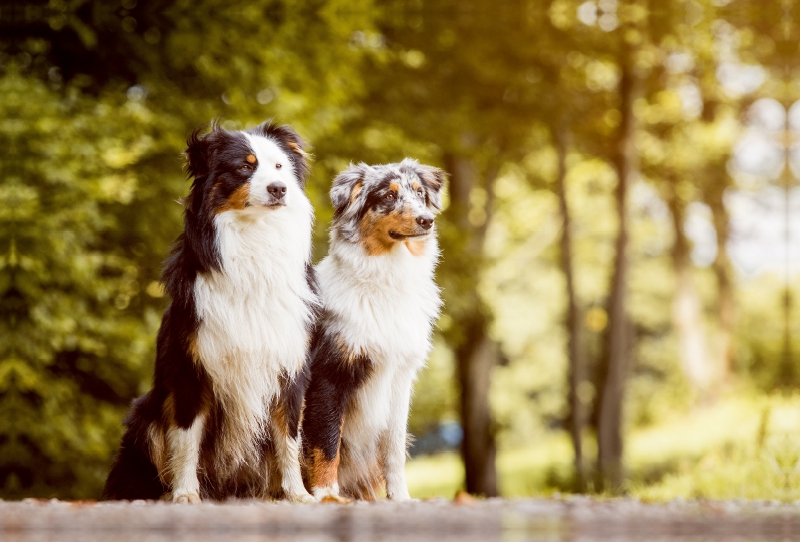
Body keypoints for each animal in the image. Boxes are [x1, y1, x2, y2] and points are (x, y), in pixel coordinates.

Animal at [103, 121, 318, 504]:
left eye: (279, 166)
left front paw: (297, 494)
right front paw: (186, 494)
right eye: (245, 167)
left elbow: (289, 437)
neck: (254, 242)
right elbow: (187, 437)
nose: (279, 188)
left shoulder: (291, 369)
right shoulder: (192, 368)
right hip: (146, 415)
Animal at [304, 160, 446, 502]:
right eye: (389, 196)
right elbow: (327, 441)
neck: (387, 280)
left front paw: (401, 498)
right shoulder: (330, 374)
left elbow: (393, 448)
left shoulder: (400, 378)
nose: (427, 220)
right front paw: (327, 495)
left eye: (419, 193)